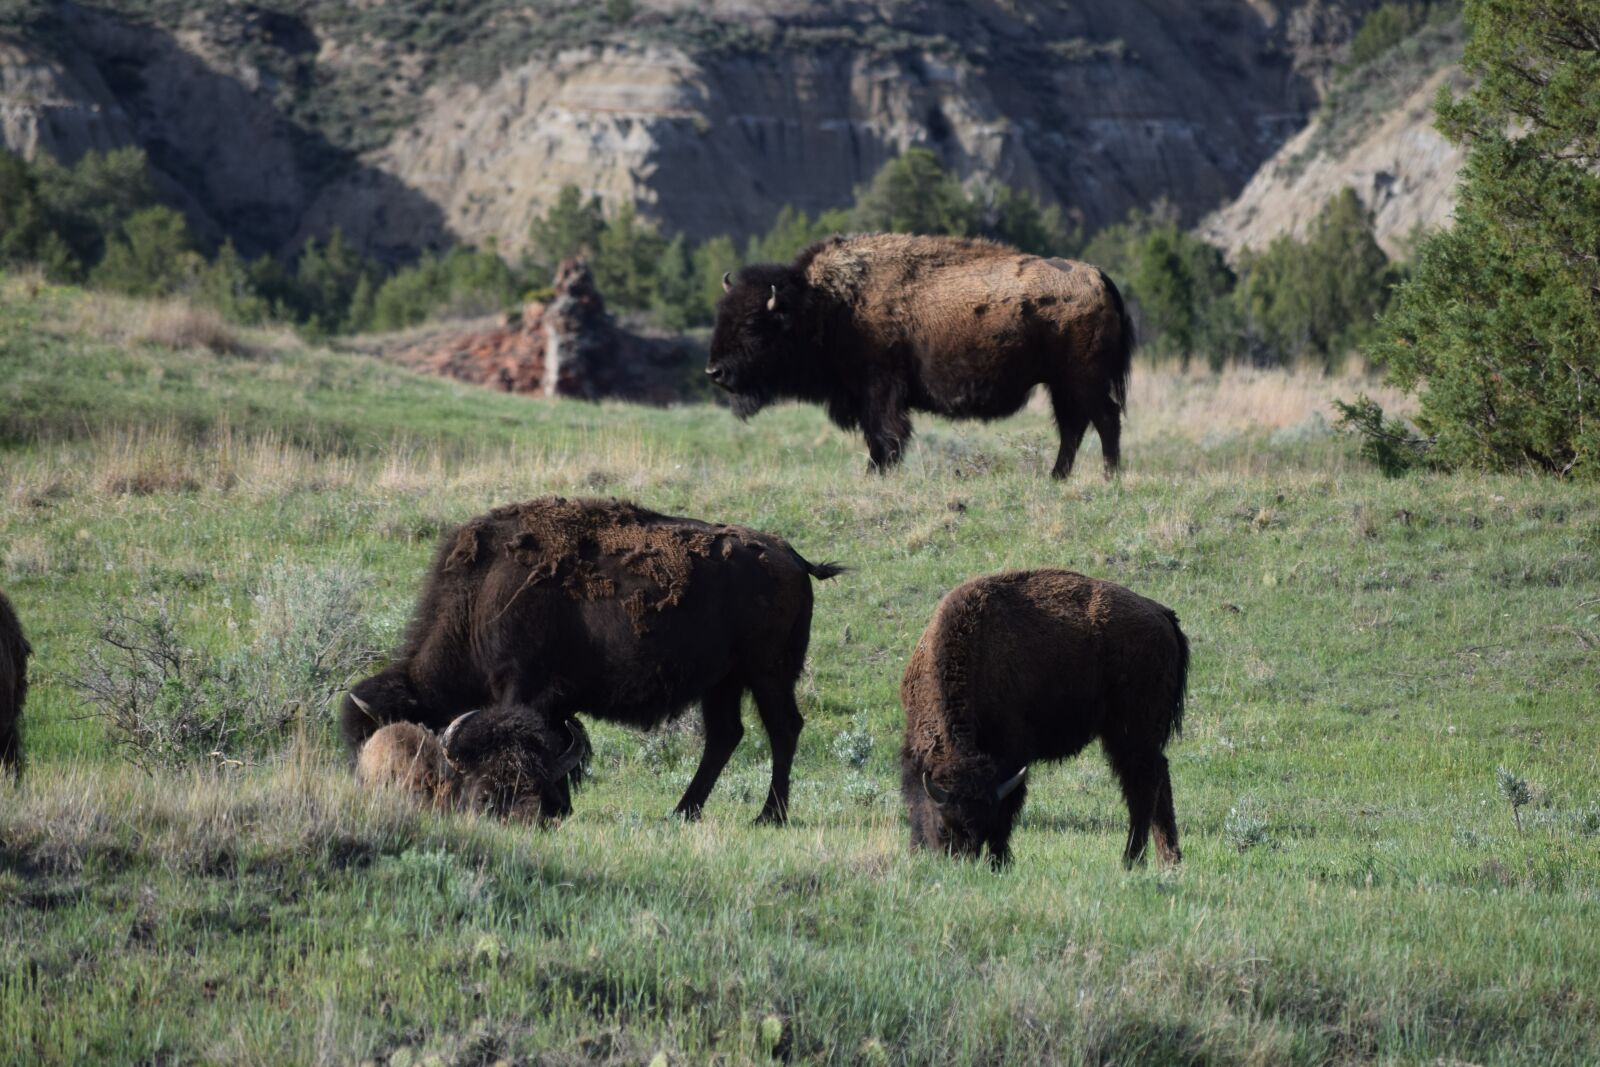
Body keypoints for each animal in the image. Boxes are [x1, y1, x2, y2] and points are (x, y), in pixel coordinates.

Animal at [342, 496, 843, 824]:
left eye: (371, 736)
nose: (367, 788)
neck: (479, 597)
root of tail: (793, 556)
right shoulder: (554, 702)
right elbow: (560, 745)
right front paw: (561, 805)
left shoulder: (521, 687)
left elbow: (541, 741)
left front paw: (553, 807)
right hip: (723, 682)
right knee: (726, 736)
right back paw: (683, 812)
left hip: (767, 673)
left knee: (782, 729)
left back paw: (768, 816)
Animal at [709, 233, 1134, 479]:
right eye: (721, 315)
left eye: (753, 326)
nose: (714, 371)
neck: (826, 305)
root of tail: (1097, 276)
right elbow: (878, 436)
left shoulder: (879, 390)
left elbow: (885, 436)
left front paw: (875, 474)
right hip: (1061, 384)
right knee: (1073, 426)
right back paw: (1056, 477)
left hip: (1082, 380)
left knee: (1105, 419)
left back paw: (1110, 477)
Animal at [901, 570, 1188, 869]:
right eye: (943, 826)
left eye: (982, 826)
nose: (961, 863)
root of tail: (1162, 614)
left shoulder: (1012, 756)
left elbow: (1007, 811)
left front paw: (1000, 861)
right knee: (1158, 781)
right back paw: (1170, 859)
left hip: (1132, 734)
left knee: (1142, 788)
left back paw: (1132, 860)